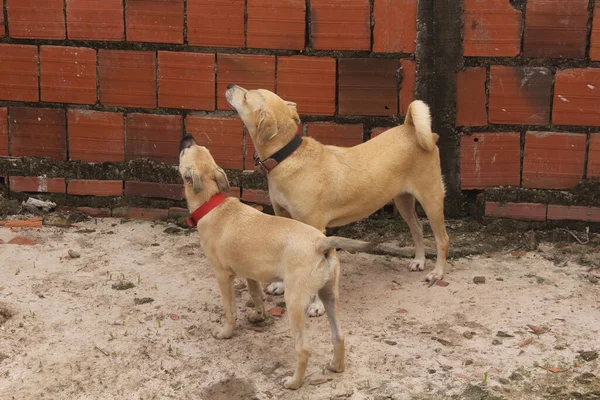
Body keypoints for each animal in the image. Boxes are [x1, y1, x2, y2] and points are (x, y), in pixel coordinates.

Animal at [178, 134, 378, 390]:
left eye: (186, 151)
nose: (188, 137)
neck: (213, 203)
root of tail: (320, 243)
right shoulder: (250, 273)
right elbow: (256, 296)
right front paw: (258, 316)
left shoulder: (223, 276)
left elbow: (230, 309)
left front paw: (225, 332)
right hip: (330, 296)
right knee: (339, 336)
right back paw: (336, 366)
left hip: (294, 302)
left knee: (303, 349)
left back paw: (294, 382)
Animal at [226, 84, 450, 316]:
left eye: (246, 96)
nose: (229, 85)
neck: (286, 156)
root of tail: (412, 129)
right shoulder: (283, 216)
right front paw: (280, 285)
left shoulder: (316, 227)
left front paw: (316, 305)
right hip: (403, 200)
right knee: (417, 229)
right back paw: (419, 261)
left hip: (431, 197)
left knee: (442, 238)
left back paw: (437, 273)